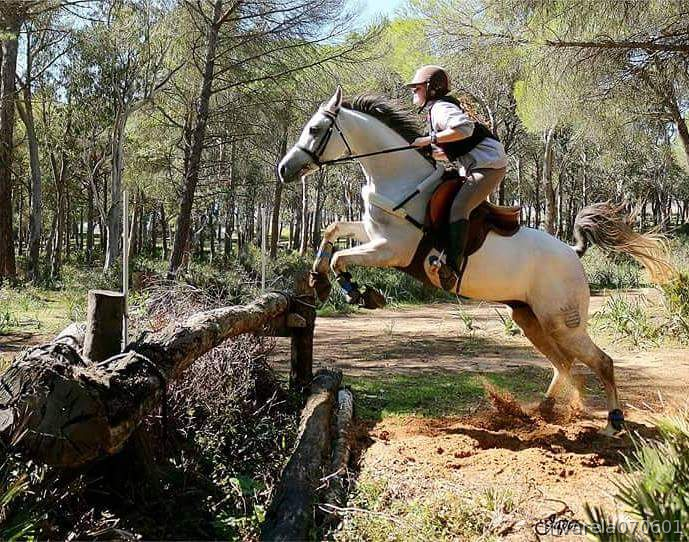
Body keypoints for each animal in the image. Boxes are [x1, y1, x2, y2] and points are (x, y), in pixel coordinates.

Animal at [276, 87, 675, 435]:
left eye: (314, 129)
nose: (284, 170)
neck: (399, 178)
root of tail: (572, 254)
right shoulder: (373, 234)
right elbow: (332, 233)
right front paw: (319, 281)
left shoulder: (392, 249)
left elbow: (341, 256)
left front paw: (358, 292)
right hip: (529, 318)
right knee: (565, 364)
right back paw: (543, 412)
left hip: (562, 323)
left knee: (600, 362)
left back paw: (613, 422)